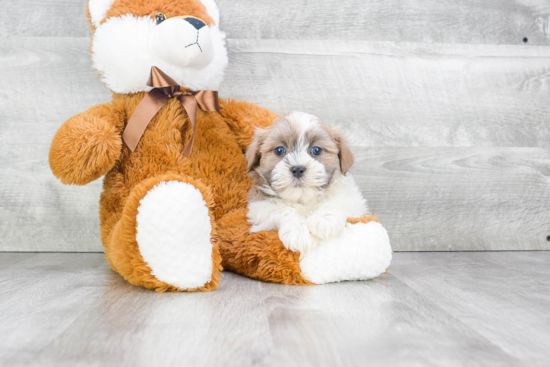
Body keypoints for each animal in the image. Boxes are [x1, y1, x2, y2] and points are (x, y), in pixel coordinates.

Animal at [247, 112, 368, 254]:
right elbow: (281, 210)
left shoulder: (354, 202)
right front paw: (299, 232)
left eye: (316, 150)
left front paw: (323, 220)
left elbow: (336, 202)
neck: (303, 198)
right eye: (279, 150)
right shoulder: (258, 208)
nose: (298, 169)